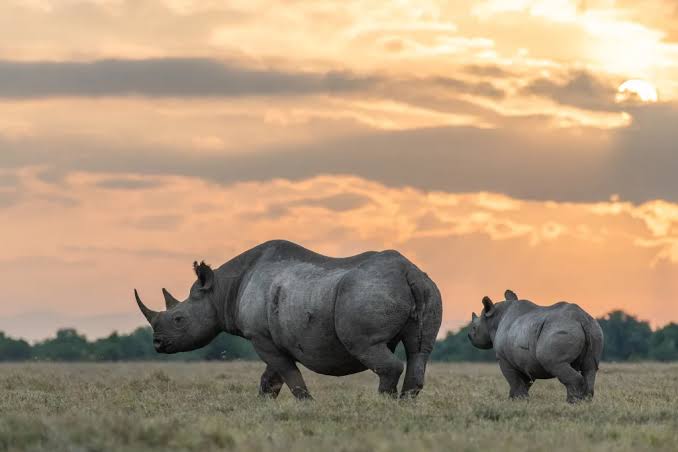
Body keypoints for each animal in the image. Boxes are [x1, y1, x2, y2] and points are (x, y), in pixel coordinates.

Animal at [134, 240, 442, 399]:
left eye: (178, 319)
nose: (157, 344)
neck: (221, 291)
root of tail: (408, 272)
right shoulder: (271, 337)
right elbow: (272, 376)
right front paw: (263, 405)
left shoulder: (260, 336)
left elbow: (287, 372)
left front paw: (307, 403)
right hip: (427, 287)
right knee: (419, 350)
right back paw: (405, 403)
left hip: (368, 292)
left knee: (366, 346)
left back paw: (382, 402)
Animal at [468, 290, 603, 403]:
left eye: (474, 328)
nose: (469, 336)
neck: (494, 319)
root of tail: (581, 318)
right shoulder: (524, 361)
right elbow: (524, 382)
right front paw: (516, 400)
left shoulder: (503, 358)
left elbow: (514, 381)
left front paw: (518, 401)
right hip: (594, 329)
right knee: (590, 368)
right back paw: (583, 403)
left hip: (560, 330)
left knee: (555, 363)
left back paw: (572, 403)